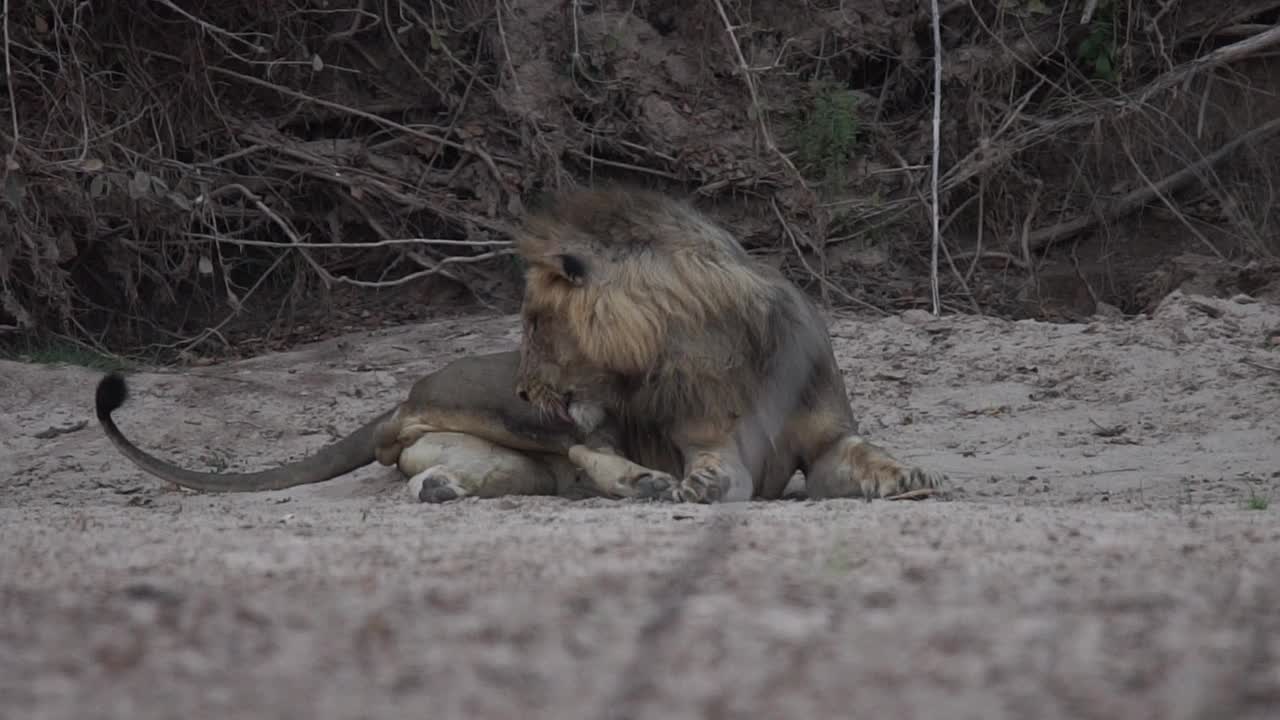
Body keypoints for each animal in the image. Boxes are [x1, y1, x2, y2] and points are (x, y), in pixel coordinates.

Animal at [512, 184, 952, 502]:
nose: (522, 393)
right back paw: (644, 482)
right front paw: (704, 483)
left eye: (535, 324)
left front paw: (909, 475)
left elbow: (867, 453)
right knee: (586, 454)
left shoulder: (829, 442)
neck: (722, 345)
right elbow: (716, 464)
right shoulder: (707, 439)